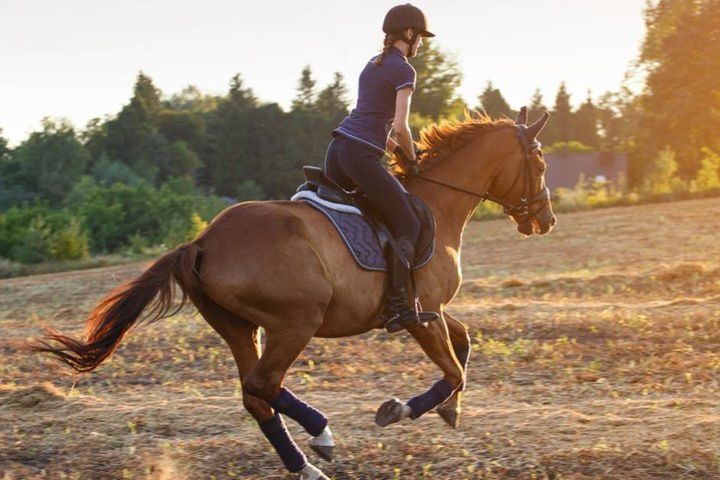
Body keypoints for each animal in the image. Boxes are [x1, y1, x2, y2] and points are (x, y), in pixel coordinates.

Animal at [33, 109, 556, 480]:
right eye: (540, 160)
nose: (545, 220)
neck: (437, 204)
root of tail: (202, 242)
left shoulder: (433, 312)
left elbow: (463, 346)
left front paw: (449, 409)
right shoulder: (419, 314)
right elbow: (453, 370)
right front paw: (399, 409)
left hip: (241, 328)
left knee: (254, 395)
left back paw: (304, 465)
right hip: (296, 322)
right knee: (263, 384)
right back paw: (320, 434)